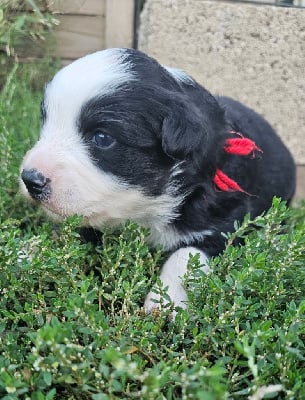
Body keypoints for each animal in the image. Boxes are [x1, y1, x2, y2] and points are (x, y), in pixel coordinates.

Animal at [20, 48, 296, 312]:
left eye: (102, 138)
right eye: (46, 123)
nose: (30, 179)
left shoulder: (226, 221)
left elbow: (186, 255)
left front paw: (166, 301)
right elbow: (67, 233)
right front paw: (27, 252)